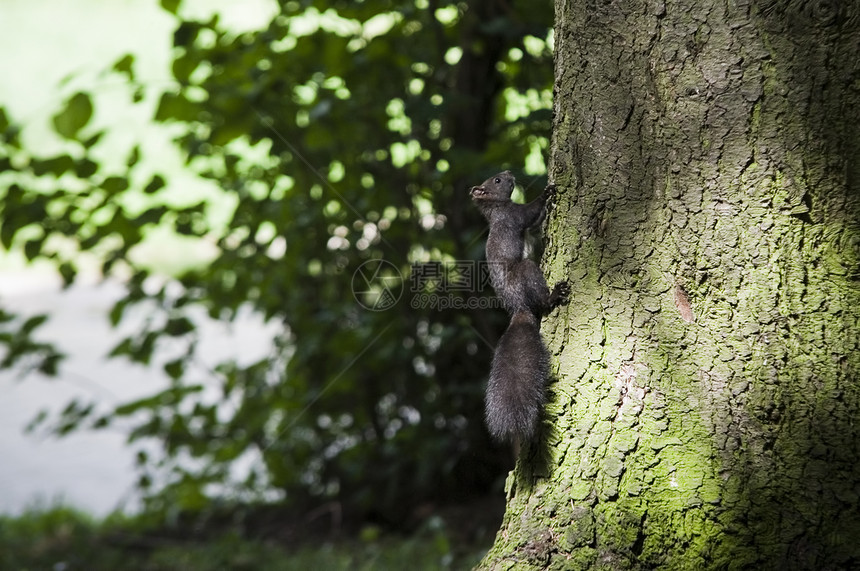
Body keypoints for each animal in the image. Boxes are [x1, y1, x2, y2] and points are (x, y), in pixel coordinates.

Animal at [466, 172, 568, 444]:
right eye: (497, 181)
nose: (509, 173)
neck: (497, 209)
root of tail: (518, 306)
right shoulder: (514, 215)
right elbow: (530, 213)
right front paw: (546, 193)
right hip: (527, 271)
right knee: (541, 299)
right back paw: (554, 295)